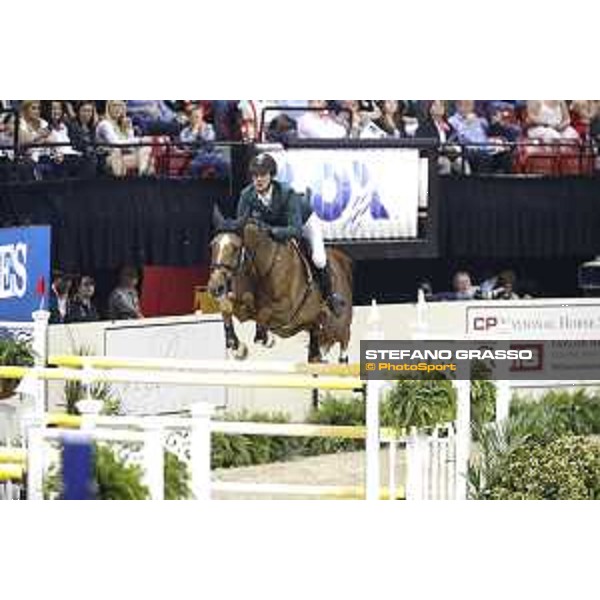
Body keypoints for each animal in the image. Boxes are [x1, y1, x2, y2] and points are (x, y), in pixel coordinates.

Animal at [209, 213, 354, 364]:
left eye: (235, 247)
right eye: (212, 245)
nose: (215, 287)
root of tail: (342, 260)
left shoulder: (285, 311)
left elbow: (264, 312)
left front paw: (265, 339)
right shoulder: (242, 307)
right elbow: (227, 307)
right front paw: (236, 346)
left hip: (338, 325)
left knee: (344, 342)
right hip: (315, 328)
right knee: (316, 352)